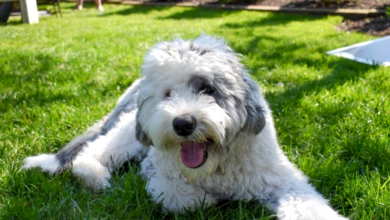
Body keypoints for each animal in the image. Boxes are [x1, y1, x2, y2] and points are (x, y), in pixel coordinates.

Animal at [22, 35, 348, 219]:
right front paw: (212, 198)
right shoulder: (159, 177)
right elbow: (184, 198)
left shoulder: (283, 180)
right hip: (129, 135)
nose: (182, 123)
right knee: (93, 151)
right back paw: (94, 176)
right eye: (168, 93)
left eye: (207, 88)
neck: (216, 166)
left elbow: (308, 205)